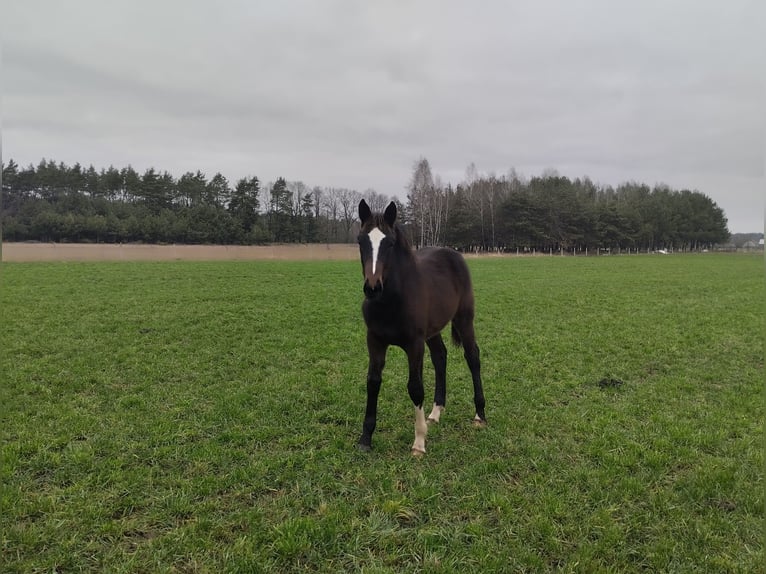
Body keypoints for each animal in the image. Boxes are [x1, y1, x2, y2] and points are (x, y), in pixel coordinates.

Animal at [356, 199, 486, 456]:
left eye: (390, 243)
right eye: (361, 241)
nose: (372, 288)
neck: (391, 301)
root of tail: (453, 253)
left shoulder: (414, 344)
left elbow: (415, 387)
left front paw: (418, 443)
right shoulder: (374, 340)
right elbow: (373, 381)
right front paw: (366, 438)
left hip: (464, 319)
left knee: (472, 356)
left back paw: (479, 415)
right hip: (433, 331)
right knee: (440, 356)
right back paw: (435, 412)